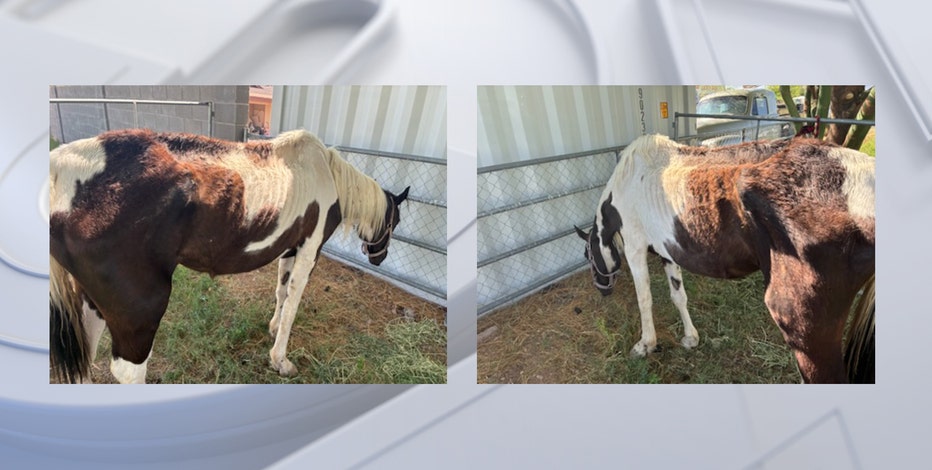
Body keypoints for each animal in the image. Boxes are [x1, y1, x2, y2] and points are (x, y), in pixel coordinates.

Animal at [49, 128, 409, 384]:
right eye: (395, 221)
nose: (379, 258)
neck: (324, 173)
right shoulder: (309, 251)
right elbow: (293, 303)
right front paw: (280, 360)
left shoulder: (289, 248)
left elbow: (281, 291)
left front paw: (272, 327)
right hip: (139, 311)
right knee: (128, 371)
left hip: (91, 304)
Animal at [575, 134, 875, 384]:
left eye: (588, 255)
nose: (602, 290)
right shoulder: (667, 253)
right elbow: (678, 296)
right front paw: (690, 338)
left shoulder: (635, 247)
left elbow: (644, 299)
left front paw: (645, 345)